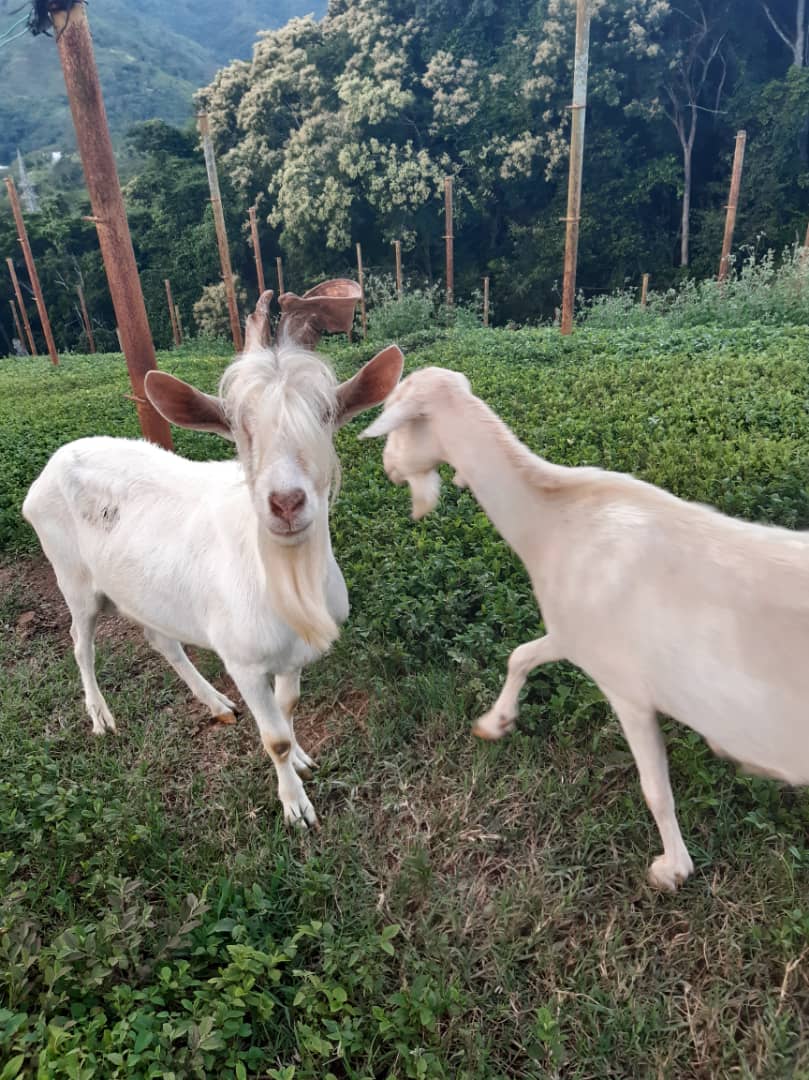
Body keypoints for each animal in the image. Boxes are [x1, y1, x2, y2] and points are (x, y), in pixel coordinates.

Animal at [23, 287, 403, 827]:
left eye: (325, 417)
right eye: (238, 427)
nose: (286, 502)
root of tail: (53, 461)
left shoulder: (294, 654)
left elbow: (288, 706)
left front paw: (302, 758)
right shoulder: (242, 658)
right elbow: (274, 736)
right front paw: (295, 806)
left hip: (144, 588)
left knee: (161, 639)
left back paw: (216, 703)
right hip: (72, 576)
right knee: (80, 642)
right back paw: (101, 716)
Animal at [363, 366, 809, 890]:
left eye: (396, 423)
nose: (388, 468)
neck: (554, 520)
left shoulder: (625, 685)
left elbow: (655, 788)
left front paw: (672, 869)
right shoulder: (571, 634)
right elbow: (521, 655)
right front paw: (495, 723)